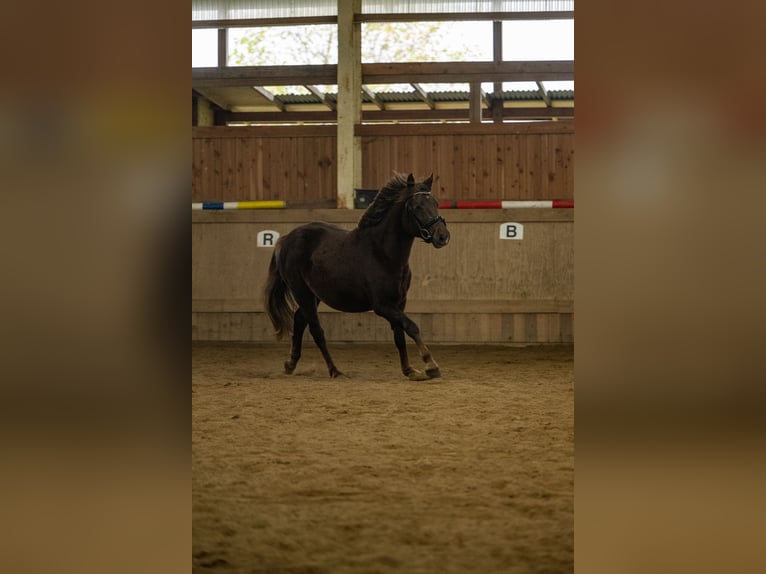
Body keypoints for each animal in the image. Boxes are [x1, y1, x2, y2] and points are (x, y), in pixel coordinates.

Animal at [268, 176, 452, 382]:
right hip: (301, 292)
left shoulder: (399, 302)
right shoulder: (382, 306)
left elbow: (399, 334)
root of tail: (286, 239)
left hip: (313, 295)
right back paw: (335, 371)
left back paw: (290, 364)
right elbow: (411, 327)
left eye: (435, 203)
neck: (382, 253)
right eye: (417, 206)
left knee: (300, 319)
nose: (443, 236)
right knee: (316, 330)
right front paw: (431, 365)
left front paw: (409, 370)